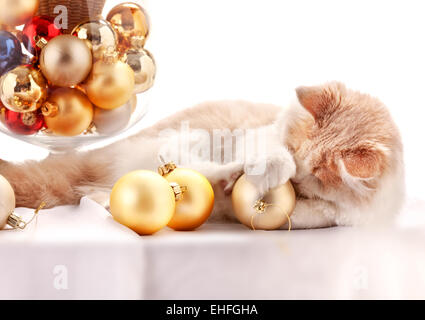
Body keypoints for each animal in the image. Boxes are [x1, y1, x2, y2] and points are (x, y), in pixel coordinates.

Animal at [0, 82, 404, 228]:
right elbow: (270, 155)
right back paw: (229, 178)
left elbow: (311, 213)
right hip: (188, 138)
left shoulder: (340, 217)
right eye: (294, 149)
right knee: (183, 168)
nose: (293, 180)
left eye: (317, 173)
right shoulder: (259, 136)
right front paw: (272, 170)